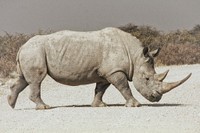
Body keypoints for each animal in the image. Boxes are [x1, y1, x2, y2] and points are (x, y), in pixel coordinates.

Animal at [7, 27, 191, 109]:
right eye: (146, 79)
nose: (157, 98)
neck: (135, 56)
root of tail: (21, 47)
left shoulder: (106, 72)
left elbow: (100, 89)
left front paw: (99, 105)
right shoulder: (115, 71)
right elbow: (124, 87)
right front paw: (135, 105)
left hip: (31, 52)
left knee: (24, 79)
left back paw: (11, 104)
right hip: (34, 51)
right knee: (36, 80)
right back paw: (44, 107)